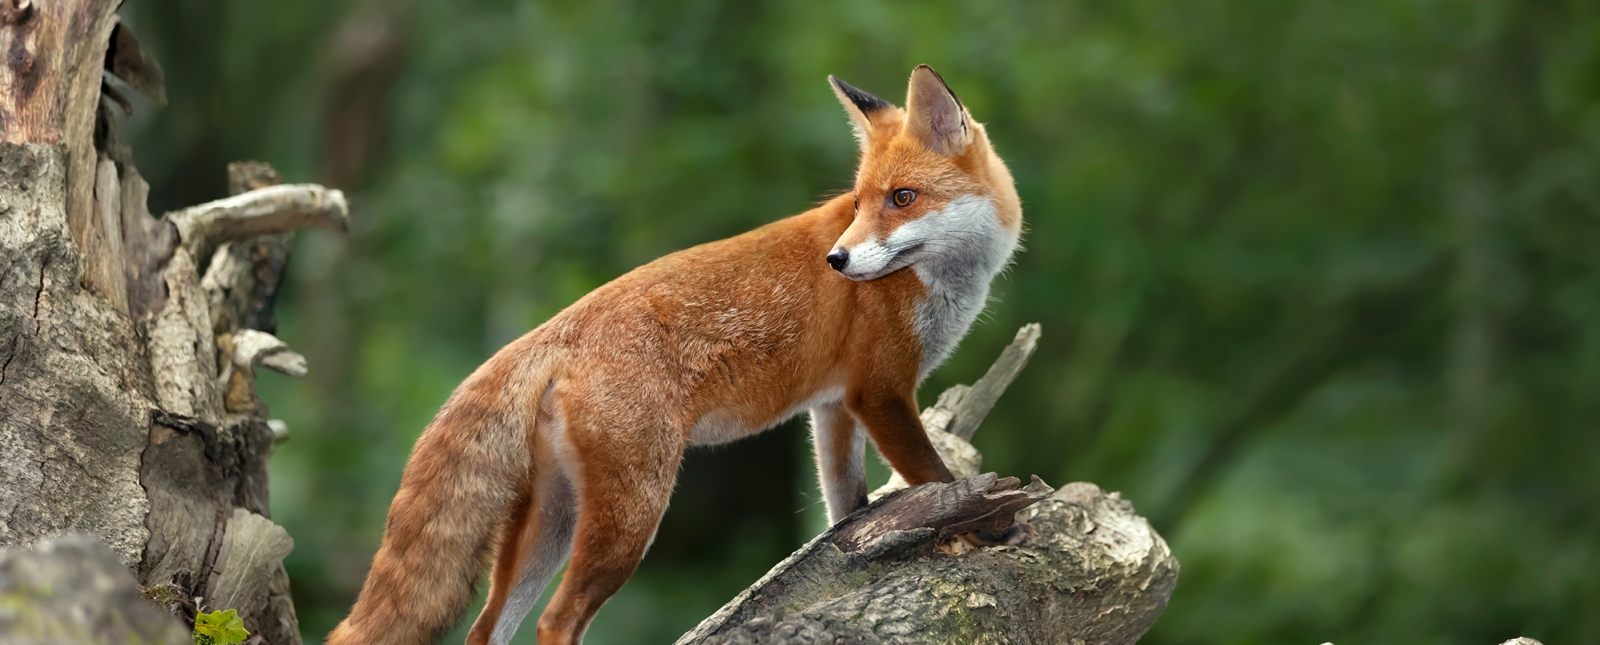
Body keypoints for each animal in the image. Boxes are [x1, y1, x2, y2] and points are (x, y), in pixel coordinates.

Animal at [325, 64, 1023, 645]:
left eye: (901, 198)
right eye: (858, 203)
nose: (839, 260)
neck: (942, 281)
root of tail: (552, 330)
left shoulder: (834, 407)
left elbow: (845, 507)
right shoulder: (878, 392)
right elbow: (934, 477)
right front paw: (977, 529)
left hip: (552, 521)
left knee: (487, 630)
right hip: (633, 516)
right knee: (556, 621)